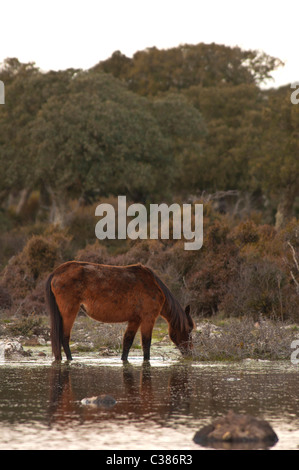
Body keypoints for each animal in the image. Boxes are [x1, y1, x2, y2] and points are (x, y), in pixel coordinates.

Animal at [44, 260, 195, 360]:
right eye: (189, 330)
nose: (190, 353)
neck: (155, 287)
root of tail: (56, 272)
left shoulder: (135, 320)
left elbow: (127, 342)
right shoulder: (148, 318)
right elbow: (146, 344)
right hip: (69, 312)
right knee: (64, 337)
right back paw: (70, 360)